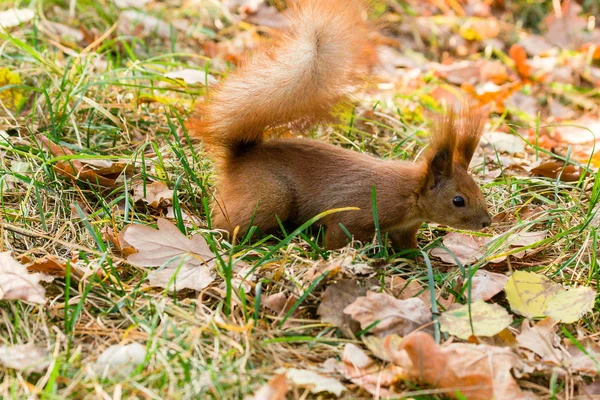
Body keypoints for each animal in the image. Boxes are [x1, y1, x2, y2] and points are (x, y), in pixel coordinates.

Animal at [185, 0, 490, 250]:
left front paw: (416, 260)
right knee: (231, 224)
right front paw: (334, 256)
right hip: (270, 196)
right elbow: (337, 237)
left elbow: (407, 246)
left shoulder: (405, 229)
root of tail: (239, 158)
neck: (411, 193)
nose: (487, 223)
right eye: (458, 200)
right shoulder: (358, 213)